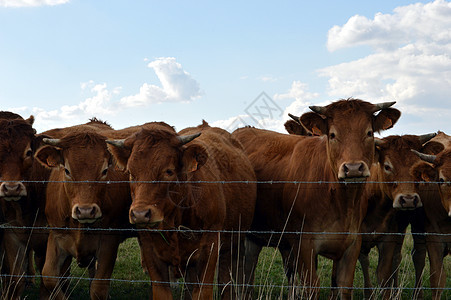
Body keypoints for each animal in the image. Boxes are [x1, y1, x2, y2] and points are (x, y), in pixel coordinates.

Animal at [34, 125, 131, 300]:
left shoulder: (109, 242)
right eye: (66, 170)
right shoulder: (56, 236)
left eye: (105, 170)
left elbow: (98, 288)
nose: (85, 211)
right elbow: (49, 277)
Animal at [104, 120, 256, 298]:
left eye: (169, 171)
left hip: (232, 245)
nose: (140, 214)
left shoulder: (209, 250)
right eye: (131, 173)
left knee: (226, 281)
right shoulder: (152, 254)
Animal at [235, 99, 400, 300]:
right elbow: (310, 285)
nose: (353, 168)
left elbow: (343, 286)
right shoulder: (303, 244)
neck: (341, 203)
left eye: (369, 133)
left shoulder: (352, 245)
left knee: (247, 269)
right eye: (332, 134)